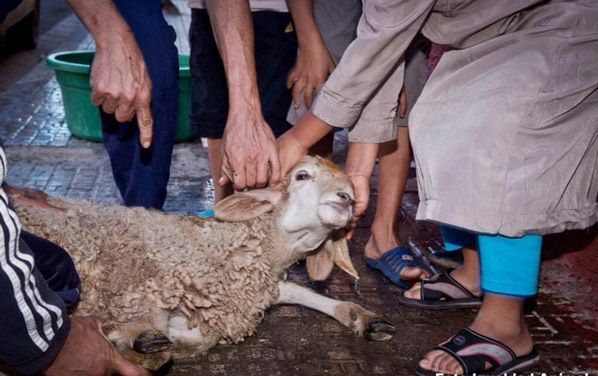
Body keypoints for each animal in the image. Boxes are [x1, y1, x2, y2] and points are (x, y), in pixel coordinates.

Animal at [9, 156, 396, 370]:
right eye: (302, 176)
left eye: (351, 189)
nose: (346, 199)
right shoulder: (147, 287)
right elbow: (177, 338)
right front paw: (135, 340)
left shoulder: (258, 289)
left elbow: (306, 293)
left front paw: (364, 318)